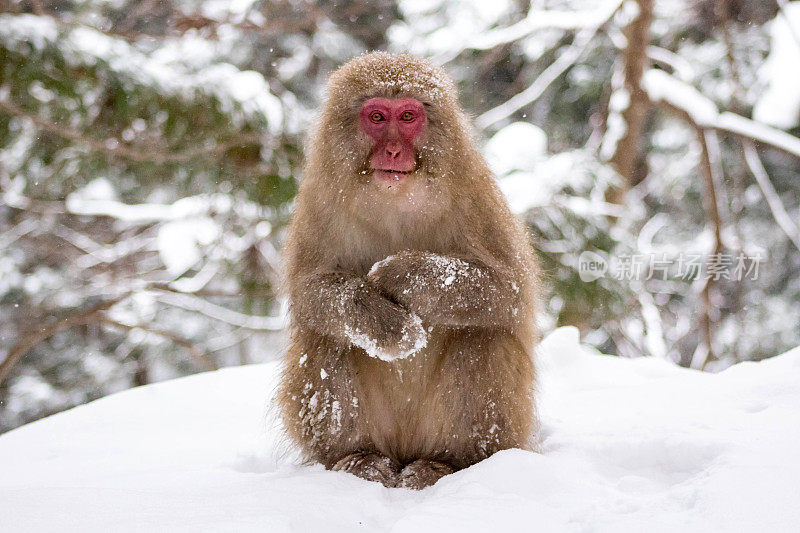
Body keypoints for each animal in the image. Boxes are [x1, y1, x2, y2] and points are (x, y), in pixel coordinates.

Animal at [278, 52, 540, 488]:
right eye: (377, 117)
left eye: (407, 116)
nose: (393, 151)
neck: (396, 197)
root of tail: (404, 449)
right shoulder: (319, 199)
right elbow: (309, 293)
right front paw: (384, 321)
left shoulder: (474, 193)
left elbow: (510, 289)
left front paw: (400, 275)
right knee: (327, 337)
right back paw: (358, 457)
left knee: (483, 334)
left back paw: (447, 463)